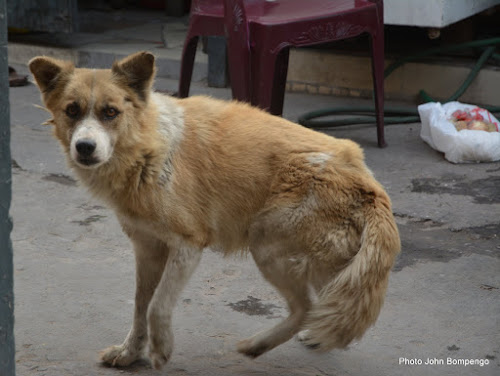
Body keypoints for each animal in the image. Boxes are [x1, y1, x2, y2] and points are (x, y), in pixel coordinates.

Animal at [29, 51, 400, 368]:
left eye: (110, 112)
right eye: (72, 111)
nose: (84, 147)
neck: (147, 150)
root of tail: (368, 182)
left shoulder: (188, 245)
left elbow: (157, 306)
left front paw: (160, 350)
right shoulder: (147, 248)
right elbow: (140, 306)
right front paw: (130, 352)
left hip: (267, 246)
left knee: (306, 307)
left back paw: (257, 345)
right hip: (325, 265)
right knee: (325, 306)